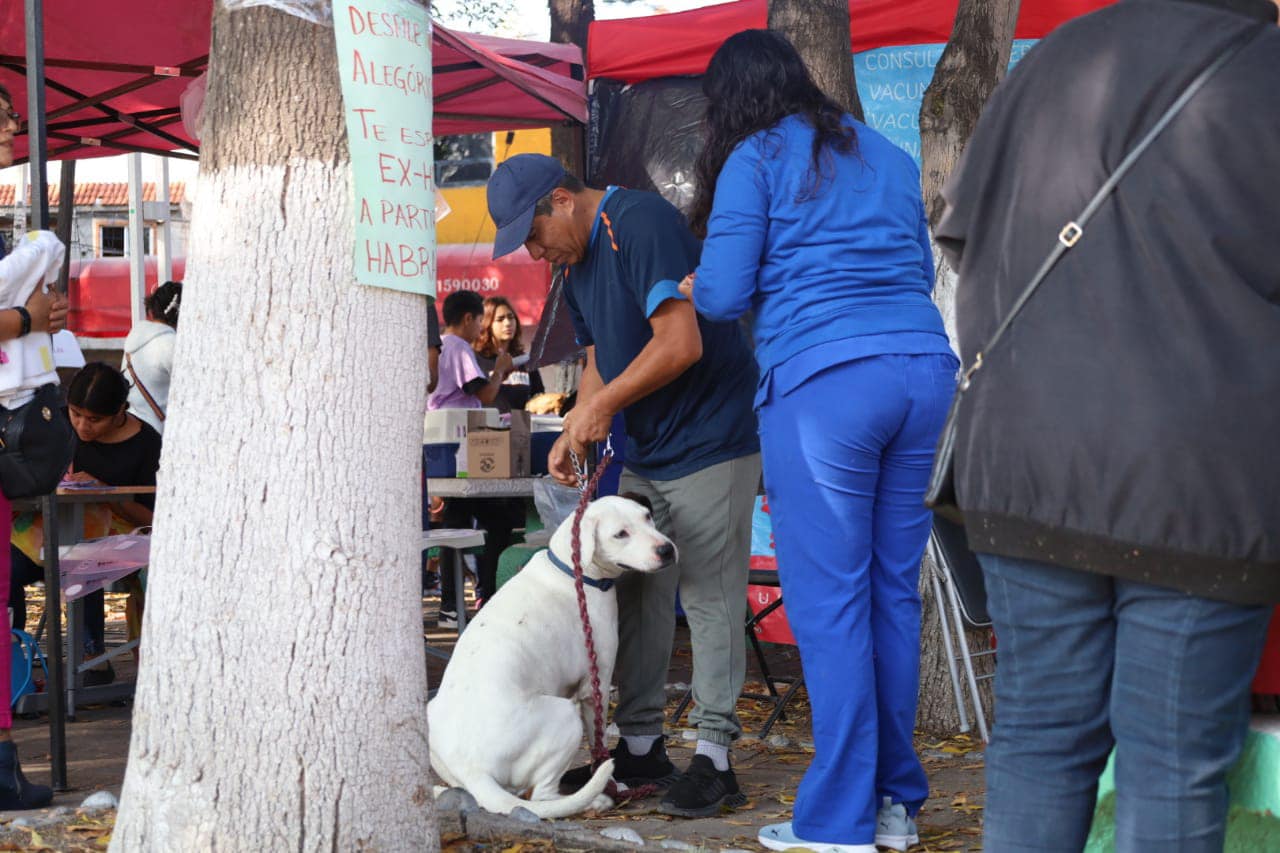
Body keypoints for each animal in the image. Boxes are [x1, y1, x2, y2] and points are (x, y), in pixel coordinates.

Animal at [427, 491, 675, 819]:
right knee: (542, 797)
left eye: (647, 516)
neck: (575, 571)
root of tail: (474, 770)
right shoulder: (594, 688)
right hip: (565, 715)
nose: (667, 549)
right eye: (620, 534)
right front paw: (613, 784)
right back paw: (595, 801)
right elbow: (598, 745)